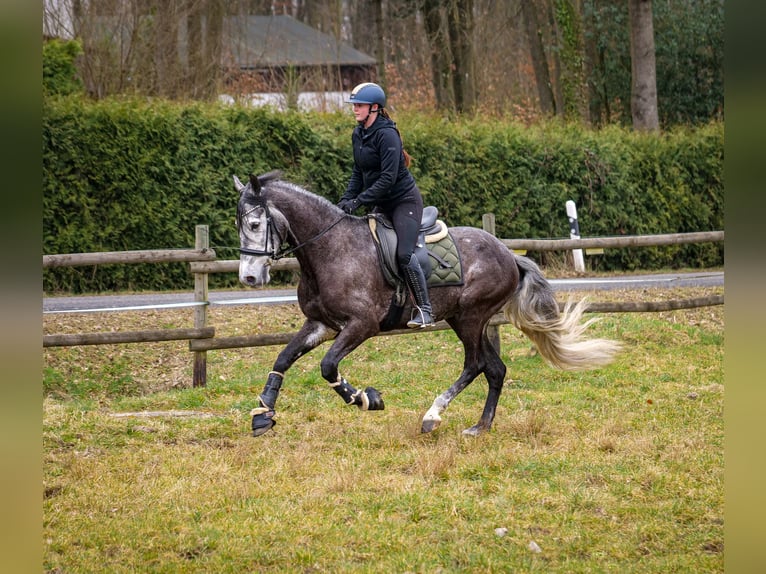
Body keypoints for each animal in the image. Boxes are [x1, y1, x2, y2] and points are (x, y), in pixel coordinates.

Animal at [237, 170, 620, 436]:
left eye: (255, 223)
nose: (249, 278)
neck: (329, 250)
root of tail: (509, 255)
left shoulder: (361, 325)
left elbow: (328, 366)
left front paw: (367, 399)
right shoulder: (321, 324)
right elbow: (283, 358)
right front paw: (263, 415)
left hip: (471, 317)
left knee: (475, 365)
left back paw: (432, 415)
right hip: (464, 320)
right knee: (495, 369)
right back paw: (480, 426)